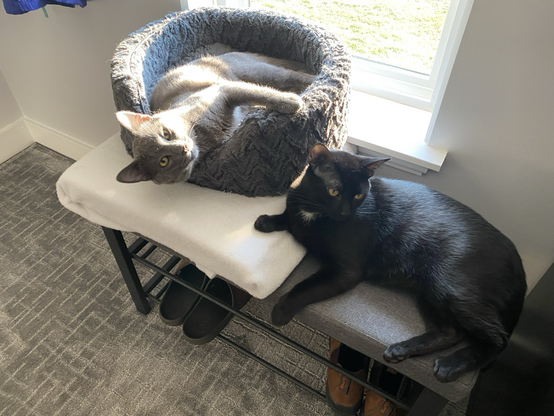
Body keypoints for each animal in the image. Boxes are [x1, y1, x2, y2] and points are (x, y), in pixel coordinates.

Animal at [115, 52, 314, 184]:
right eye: (164, 161)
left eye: (165, 134)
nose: (183, 149)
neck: (203, 133)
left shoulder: (224, 90)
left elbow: (260, 93)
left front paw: (291, 102)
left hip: (259, 71)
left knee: (291, 75)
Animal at [254, 144, 528, 384]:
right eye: (334, 191)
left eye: (358, 195)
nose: (344, 213)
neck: (314, 211)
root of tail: (518, 261)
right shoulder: (298, 214)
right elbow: (289, 219)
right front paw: (267, 221)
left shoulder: (346, 271)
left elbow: (304, 287)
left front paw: (281, 310)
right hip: (429, 290)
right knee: (451, 332)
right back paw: (401, 350)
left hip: (452, 288)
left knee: (497, 339)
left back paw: (451, 365)